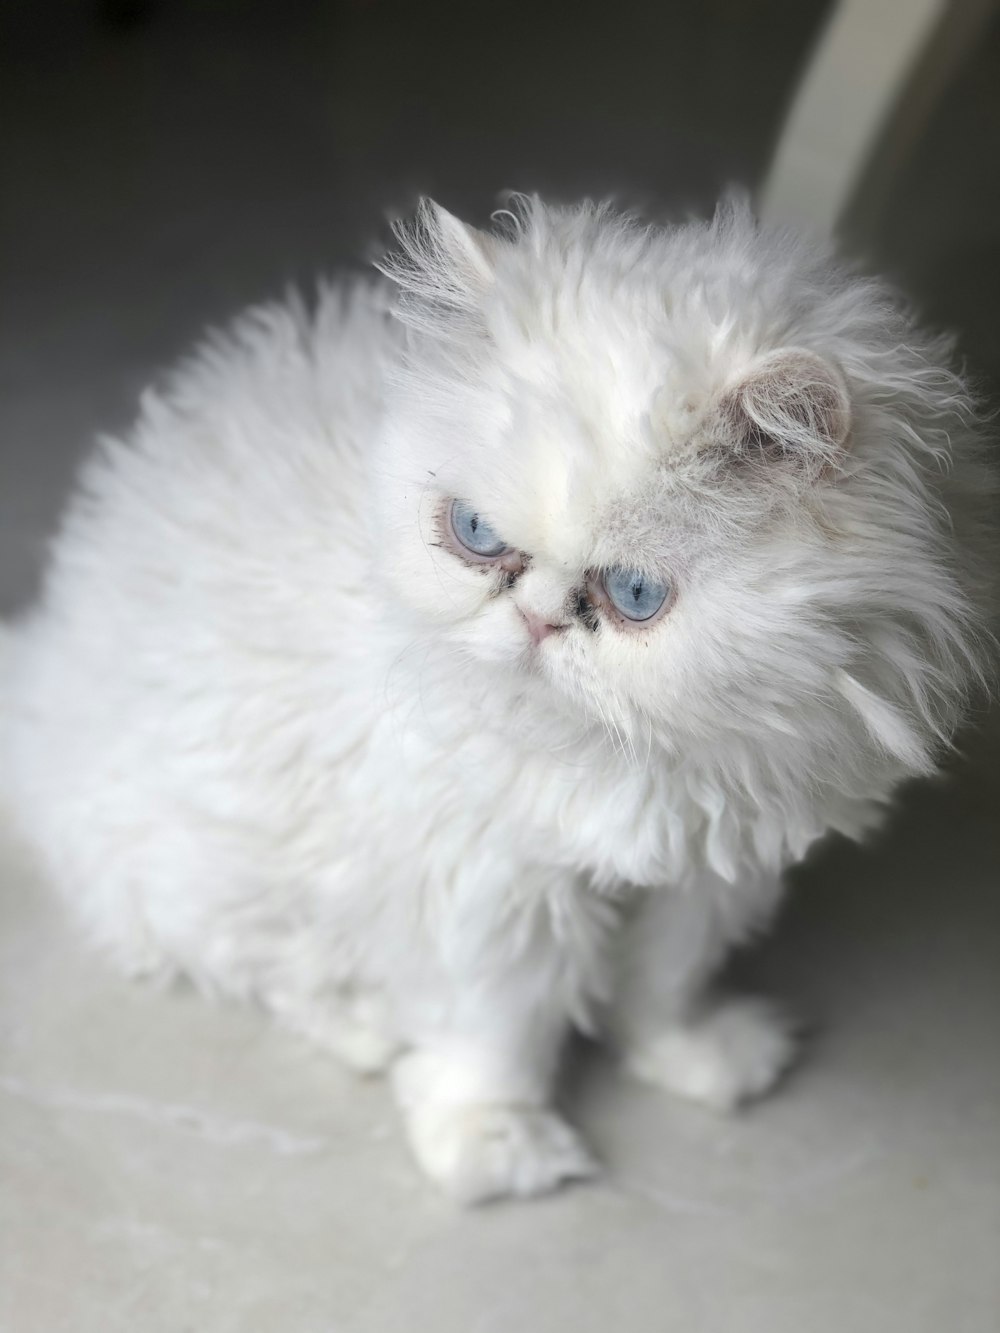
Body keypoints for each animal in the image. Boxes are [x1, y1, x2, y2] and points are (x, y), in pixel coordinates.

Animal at [0, 194, 997, 1199]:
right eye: (475, 534)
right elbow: (497, 1033)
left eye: (635, 593)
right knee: (255, 965)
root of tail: (40, 658)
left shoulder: (707, 868)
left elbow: (667, 987)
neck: (625, 753)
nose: (535, 617)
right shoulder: (487, 889)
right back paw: (369, 1027)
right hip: (201, 858)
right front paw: (495, 1151)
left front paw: (696, 1061)